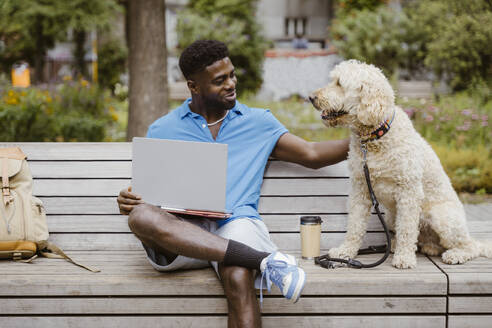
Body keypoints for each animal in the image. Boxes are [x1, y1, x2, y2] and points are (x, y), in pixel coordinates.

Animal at [310, 59, 490, 270]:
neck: (375, 139)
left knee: (470, 246)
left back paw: (455, 254)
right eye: (333, 80)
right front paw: (345, 252)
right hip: (390, 216)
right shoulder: (360, 190)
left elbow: (406, 228)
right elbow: (354, 225)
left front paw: (404, 258)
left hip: (442, 217)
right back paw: (416, 247)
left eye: (340, 83)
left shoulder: (408, 192)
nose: (311, 97)